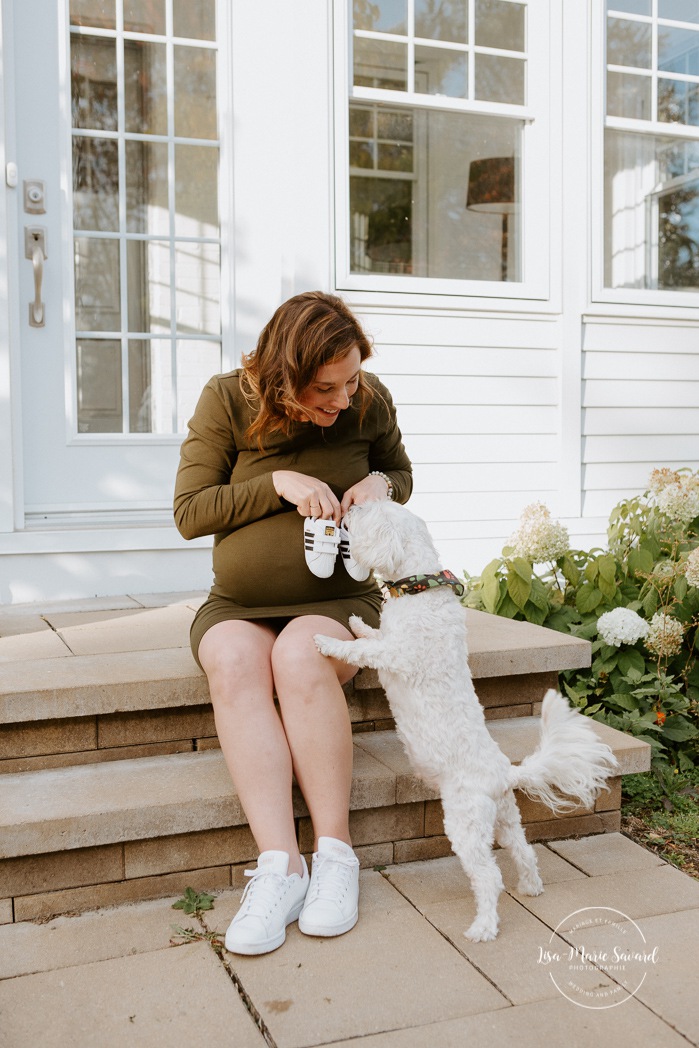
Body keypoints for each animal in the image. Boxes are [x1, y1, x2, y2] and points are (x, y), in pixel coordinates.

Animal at [316, 498, 616, 943]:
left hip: (466, 823)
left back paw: (483, 928)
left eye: (369, 510)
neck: (419, 589)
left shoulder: (395, 655)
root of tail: (505, 774)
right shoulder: (389, 640)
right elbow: (370, 634)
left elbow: (362, 650)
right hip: (506, 818)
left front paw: (327, 641)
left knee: (489, 877)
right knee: (524, 850)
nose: (349, 505)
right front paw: (355, 623)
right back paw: (531, 887)